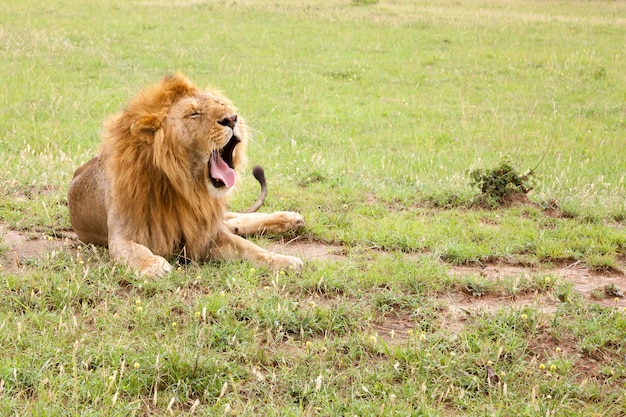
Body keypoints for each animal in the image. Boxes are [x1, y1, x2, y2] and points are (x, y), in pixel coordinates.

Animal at [67, 74, 304, 276]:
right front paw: (152, 266)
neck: (183, 187)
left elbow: (250, 248)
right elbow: (135, 250)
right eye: (194, 113)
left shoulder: (203, 229)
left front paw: (283, 260)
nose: (232, 118)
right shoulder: (120, 234)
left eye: (220, 104)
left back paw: (289, 218)